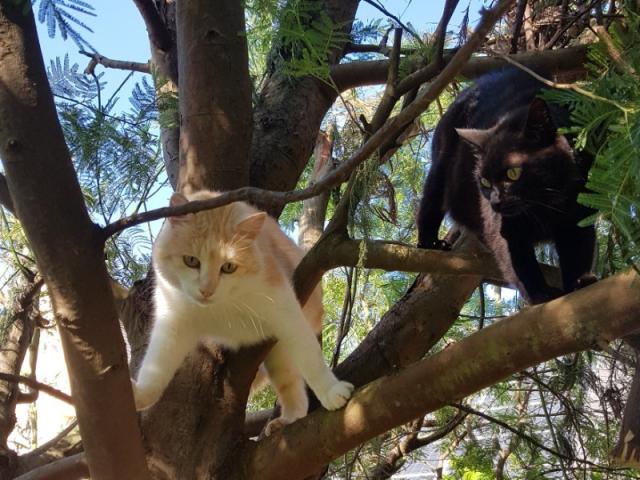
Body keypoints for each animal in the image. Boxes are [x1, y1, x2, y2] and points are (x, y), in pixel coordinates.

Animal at [132, 189, 352, 434]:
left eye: (229, 267)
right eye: (191, 261)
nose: (206, 291)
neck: (221, 305)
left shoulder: (285, 312)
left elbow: (310, 357)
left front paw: (331, 391)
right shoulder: (173, 323)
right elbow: (156, 365)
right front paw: (140, 394)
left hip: (281, 351)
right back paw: (286, 421)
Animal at [418, 66, 596, 304]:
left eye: (513, 173)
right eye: (484, 181)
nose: (495, 202)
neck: (546, 204)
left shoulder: (579, 216)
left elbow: (578, 254)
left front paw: (579, 284)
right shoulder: (506, 231)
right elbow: (521, 266)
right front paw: (539, 294)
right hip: (439, 171)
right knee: (429, 206)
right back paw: (430, 243)